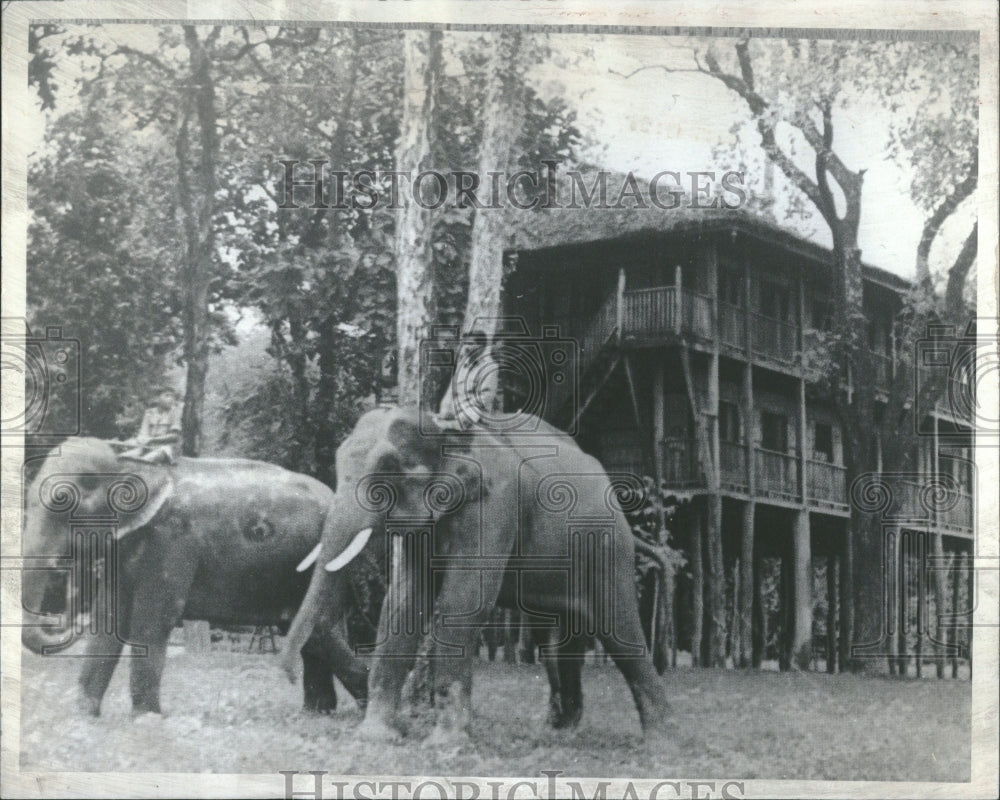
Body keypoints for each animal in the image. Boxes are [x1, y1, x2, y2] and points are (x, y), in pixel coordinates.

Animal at [19, 438, 372, 720]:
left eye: (62, 499)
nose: (69, 615)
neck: (133, 460)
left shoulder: (172, 539)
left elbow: (152, 620)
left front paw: (146, 719)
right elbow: (109, 621)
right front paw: (83, 717)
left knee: (316, 628)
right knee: (305, 631)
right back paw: (316, 714)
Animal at [282, 406, 672, 744]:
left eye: (388, 467)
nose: (288, 674)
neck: (444, 428)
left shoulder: (495, 502)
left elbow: (462, 601)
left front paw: (445, 745)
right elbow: (403, 602)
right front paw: (376, 737)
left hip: (607, 547)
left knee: (618, 630)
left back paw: (660, 742)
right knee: (555, 639)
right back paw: (557, 732)